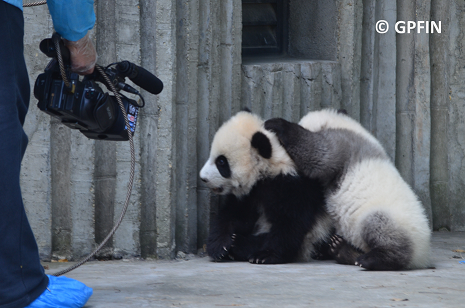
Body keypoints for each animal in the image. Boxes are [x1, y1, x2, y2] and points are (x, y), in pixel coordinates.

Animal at [198, 109, 332, 264]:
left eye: (221, 162)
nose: (203, 178)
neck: (267, 168)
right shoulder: (250, 193)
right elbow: (233, 214)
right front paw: (219, 246)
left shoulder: (292, 187)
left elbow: (290, 223)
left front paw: (265, 255)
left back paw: (239, 244)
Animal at [264, 108, 432, 270]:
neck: (347, 125)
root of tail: (422, 258)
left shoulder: (343, 145)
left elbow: (318, 153)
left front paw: (276, 124)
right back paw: (338, 249)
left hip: (392, 219)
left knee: (382, 231)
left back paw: (370, 259)